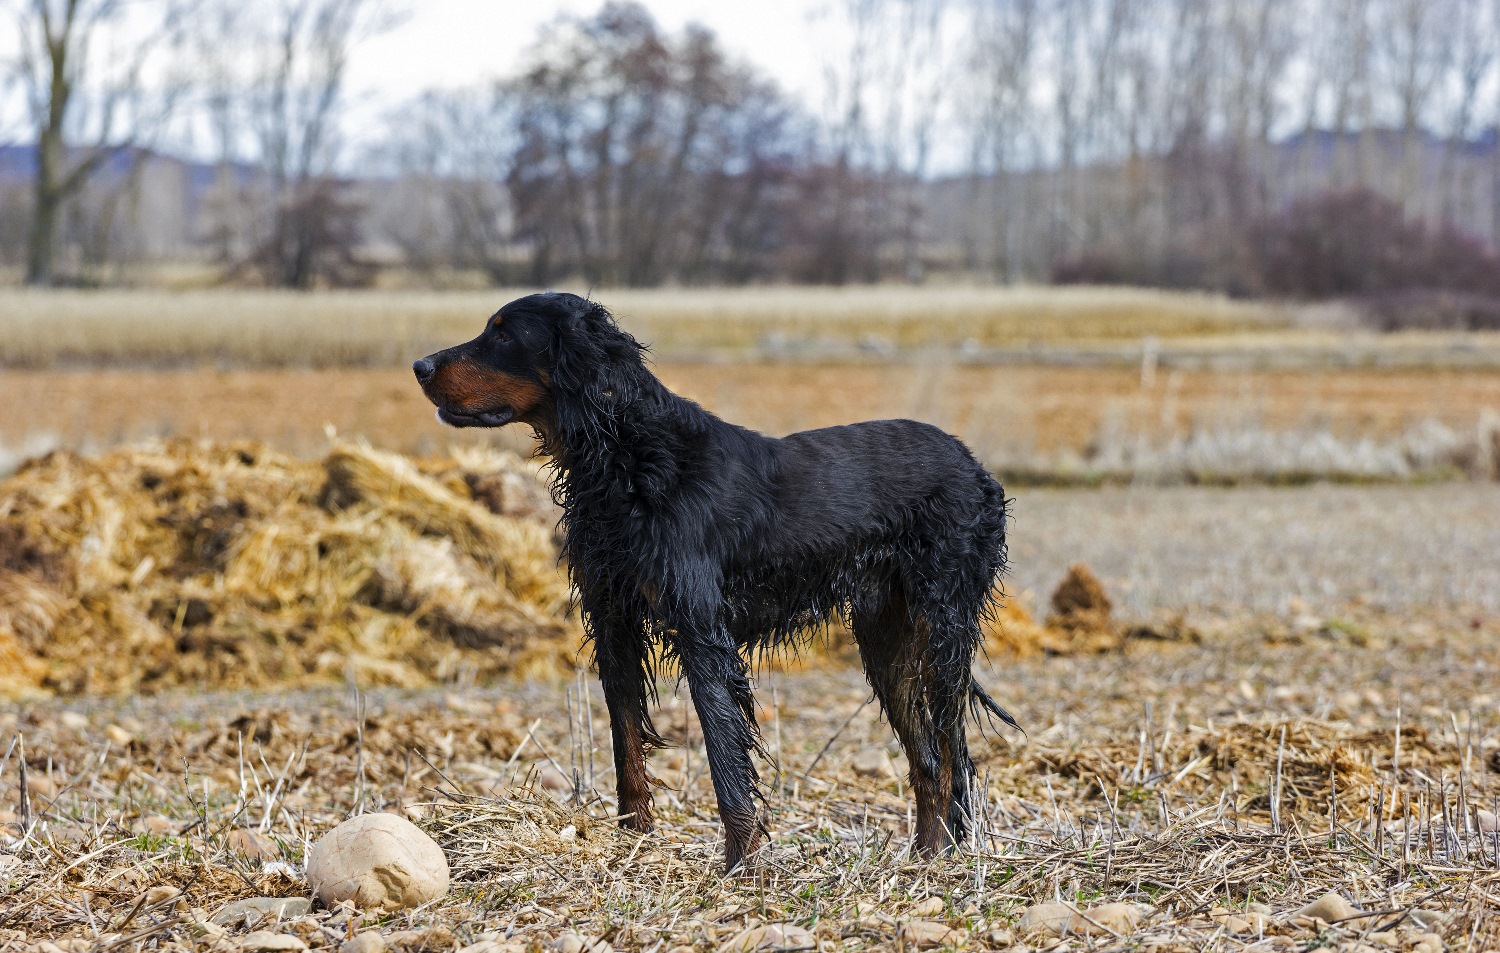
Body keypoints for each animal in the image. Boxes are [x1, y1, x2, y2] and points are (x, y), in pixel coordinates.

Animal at [417, 291, 1014, 870]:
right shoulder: (613, 621)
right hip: (886, 637)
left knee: (948, 750)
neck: (630, 458)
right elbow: (626, 741)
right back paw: (926, 861)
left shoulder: (703, 631)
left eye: (504, 335)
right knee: (930, 759)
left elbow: (724, 753)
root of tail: (973, 465)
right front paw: (635, 842)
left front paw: (740, 864)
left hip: (942, 628)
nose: (420, 366)